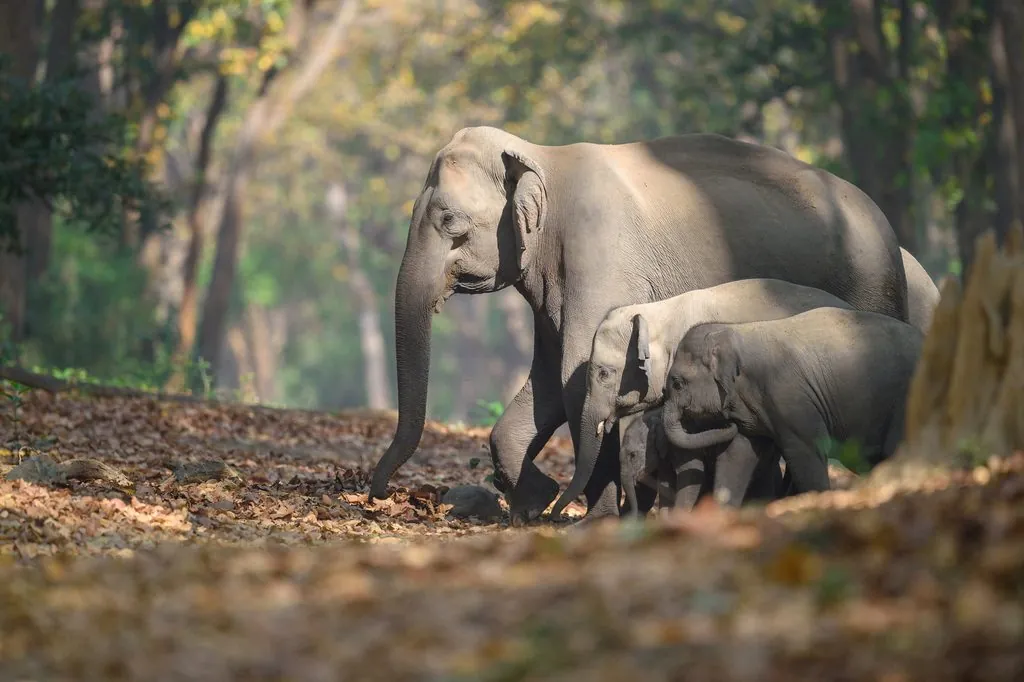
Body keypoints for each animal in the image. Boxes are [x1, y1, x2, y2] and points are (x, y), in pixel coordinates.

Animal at [618, 406, 784, 517]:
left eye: (633, 455)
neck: (657, 414)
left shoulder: (683, 447)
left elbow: (693, 474)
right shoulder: (665, 455)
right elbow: (666, 481)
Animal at [660, 306, 924, 494]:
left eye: (678, 383)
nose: (727, 421)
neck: (735, 330)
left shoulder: (790, 397)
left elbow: (808, 452)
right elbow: (737, 456)